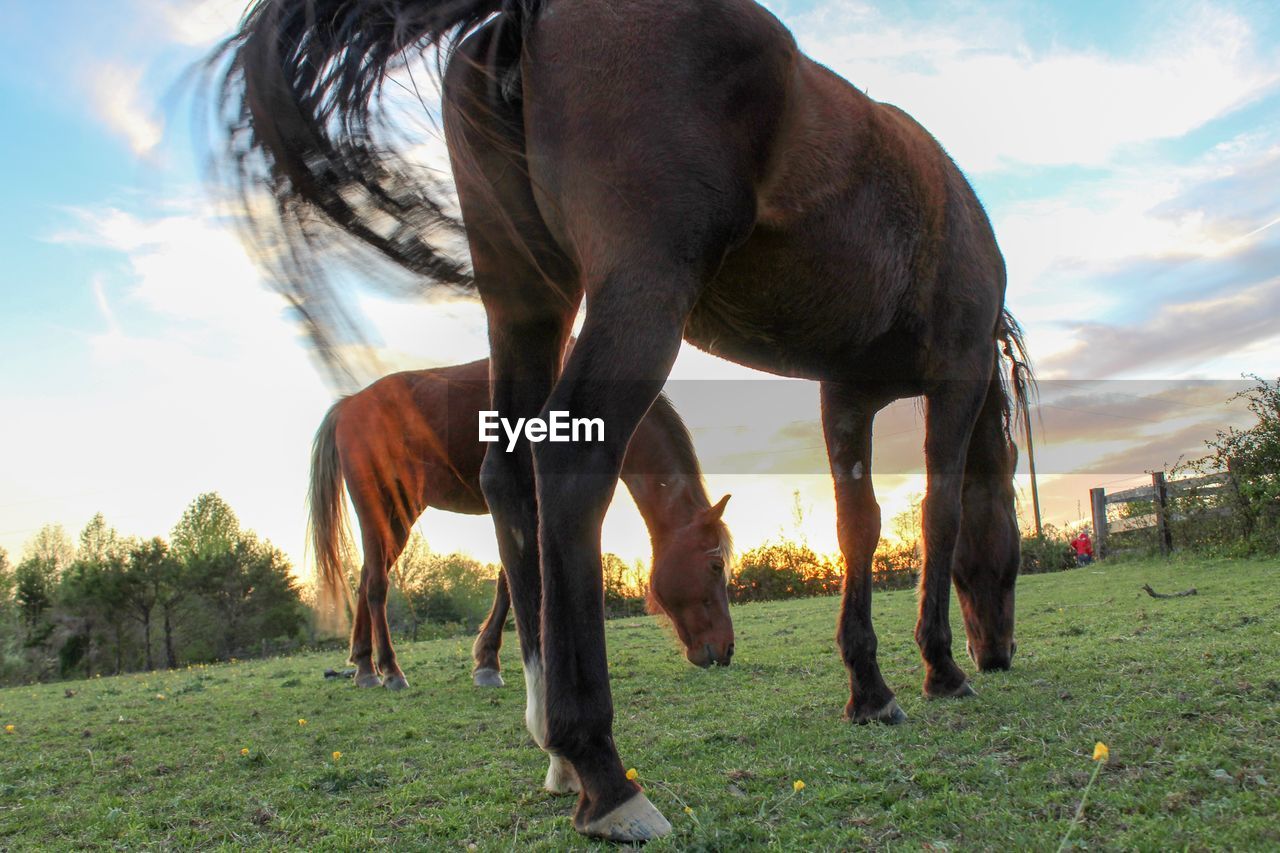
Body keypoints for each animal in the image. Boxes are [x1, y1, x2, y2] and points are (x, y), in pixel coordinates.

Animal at [304, 356, 737, 686]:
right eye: (716, 565)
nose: (728, 648)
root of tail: (350, 404)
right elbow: (513, 583)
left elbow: (507, 583)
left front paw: (488, 661)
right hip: (376, 507)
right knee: (377, 585)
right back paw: (390, 671)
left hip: (399, 514)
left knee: (365, 578)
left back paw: (364, 664)